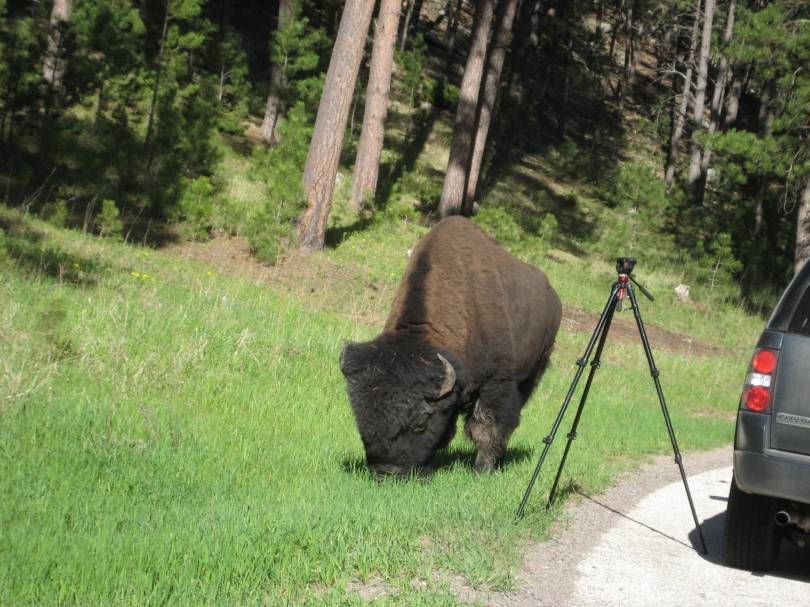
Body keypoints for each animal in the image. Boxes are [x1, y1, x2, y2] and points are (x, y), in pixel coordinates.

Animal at [340, 216, 562, 476]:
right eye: (360, 417)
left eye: (420, 423)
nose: (386, 471)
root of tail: (554, 299)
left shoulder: (496, 383)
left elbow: (485, 427)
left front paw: (481, 470)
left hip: (534, 371)